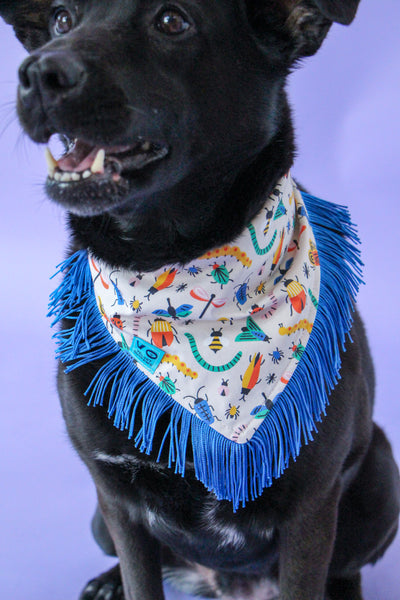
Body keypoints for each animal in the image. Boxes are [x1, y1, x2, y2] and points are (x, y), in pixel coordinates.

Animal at [1, 1, 398, 600]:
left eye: (172, 21)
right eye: (62, 19)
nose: (39, 73)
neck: (167, 265)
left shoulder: (311, 506)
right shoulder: (117, 498)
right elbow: (140, 579)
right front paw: (122, 581)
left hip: (379, 474)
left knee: (345, 567)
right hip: (98, 519)